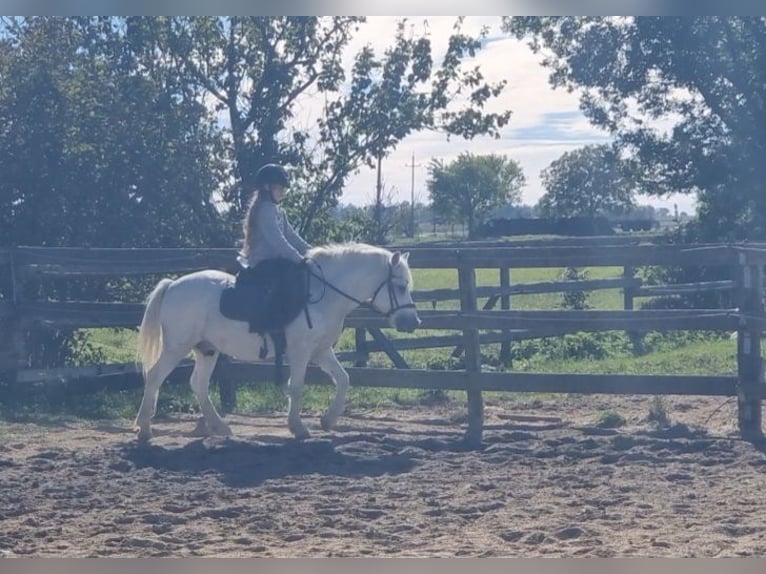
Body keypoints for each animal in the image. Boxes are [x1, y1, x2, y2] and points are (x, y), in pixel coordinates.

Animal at [134, 243, 421, 442]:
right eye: (400, 286)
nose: (413, 322)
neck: (323, 295)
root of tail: (173, 285)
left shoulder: (321, 350)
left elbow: (343, 378)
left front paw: (328, 420)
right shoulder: (301, 351)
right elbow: (297, 386)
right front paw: (299, 427)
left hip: (207, 350)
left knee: (199, 385)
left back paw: (220, 427)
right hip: (176, 347)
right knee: (155, 376)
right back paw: (145, 429)